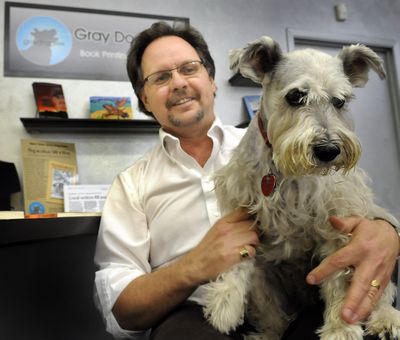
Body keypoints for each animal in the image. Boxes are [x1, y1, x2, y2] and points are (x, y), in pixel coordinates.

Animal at [203, 37, 400, 340]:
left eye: (340, 101)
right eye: (296, 96)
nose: (328, 150)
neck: (284, 171)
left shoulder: (337, 226)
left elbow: (338, 282)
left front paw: (340, 327)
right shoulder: (240, 212)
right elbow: (239, 256)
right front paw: (226, 298)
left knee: (382, 292)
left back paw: (386, 319)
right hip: (265, 283)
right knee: (275, 316)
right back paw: (268, 334)